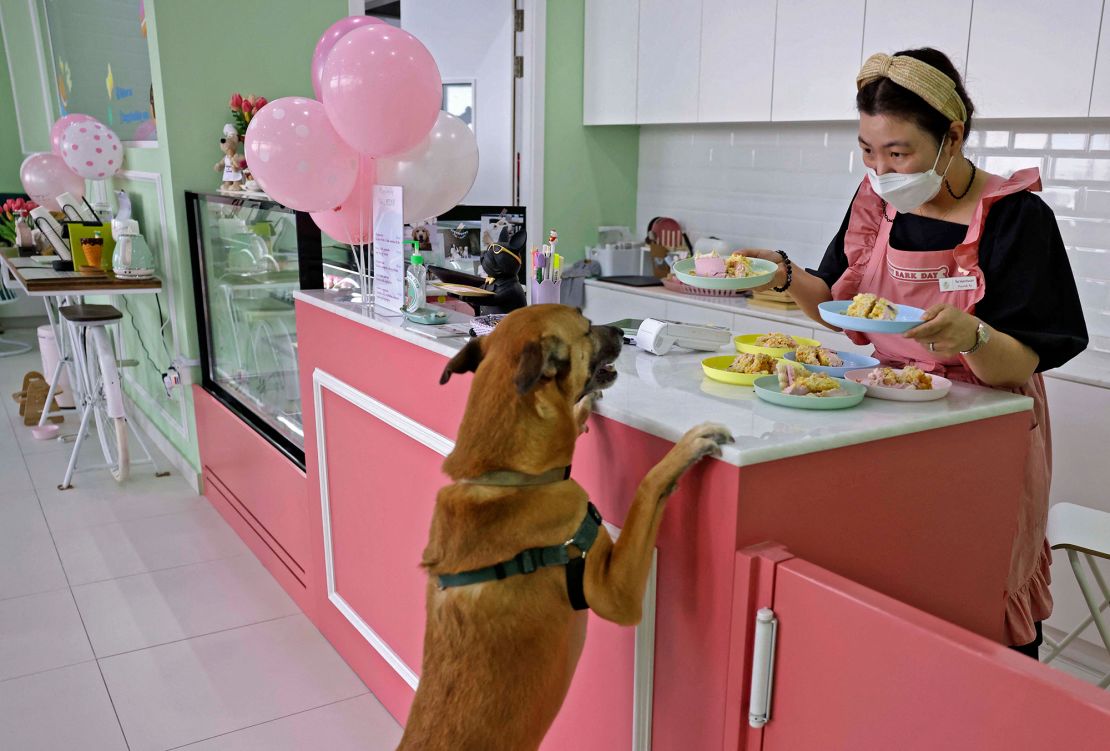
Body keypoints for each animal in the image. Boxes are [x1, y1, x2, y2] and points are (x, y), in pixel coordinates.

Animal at [397, 301, 728, 745]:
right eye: (586, 327)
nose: (621, 332)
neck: (507, 476)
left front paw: (583, 410)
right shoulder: (614, 593)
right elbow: (646, 488)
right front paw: (686, 448)